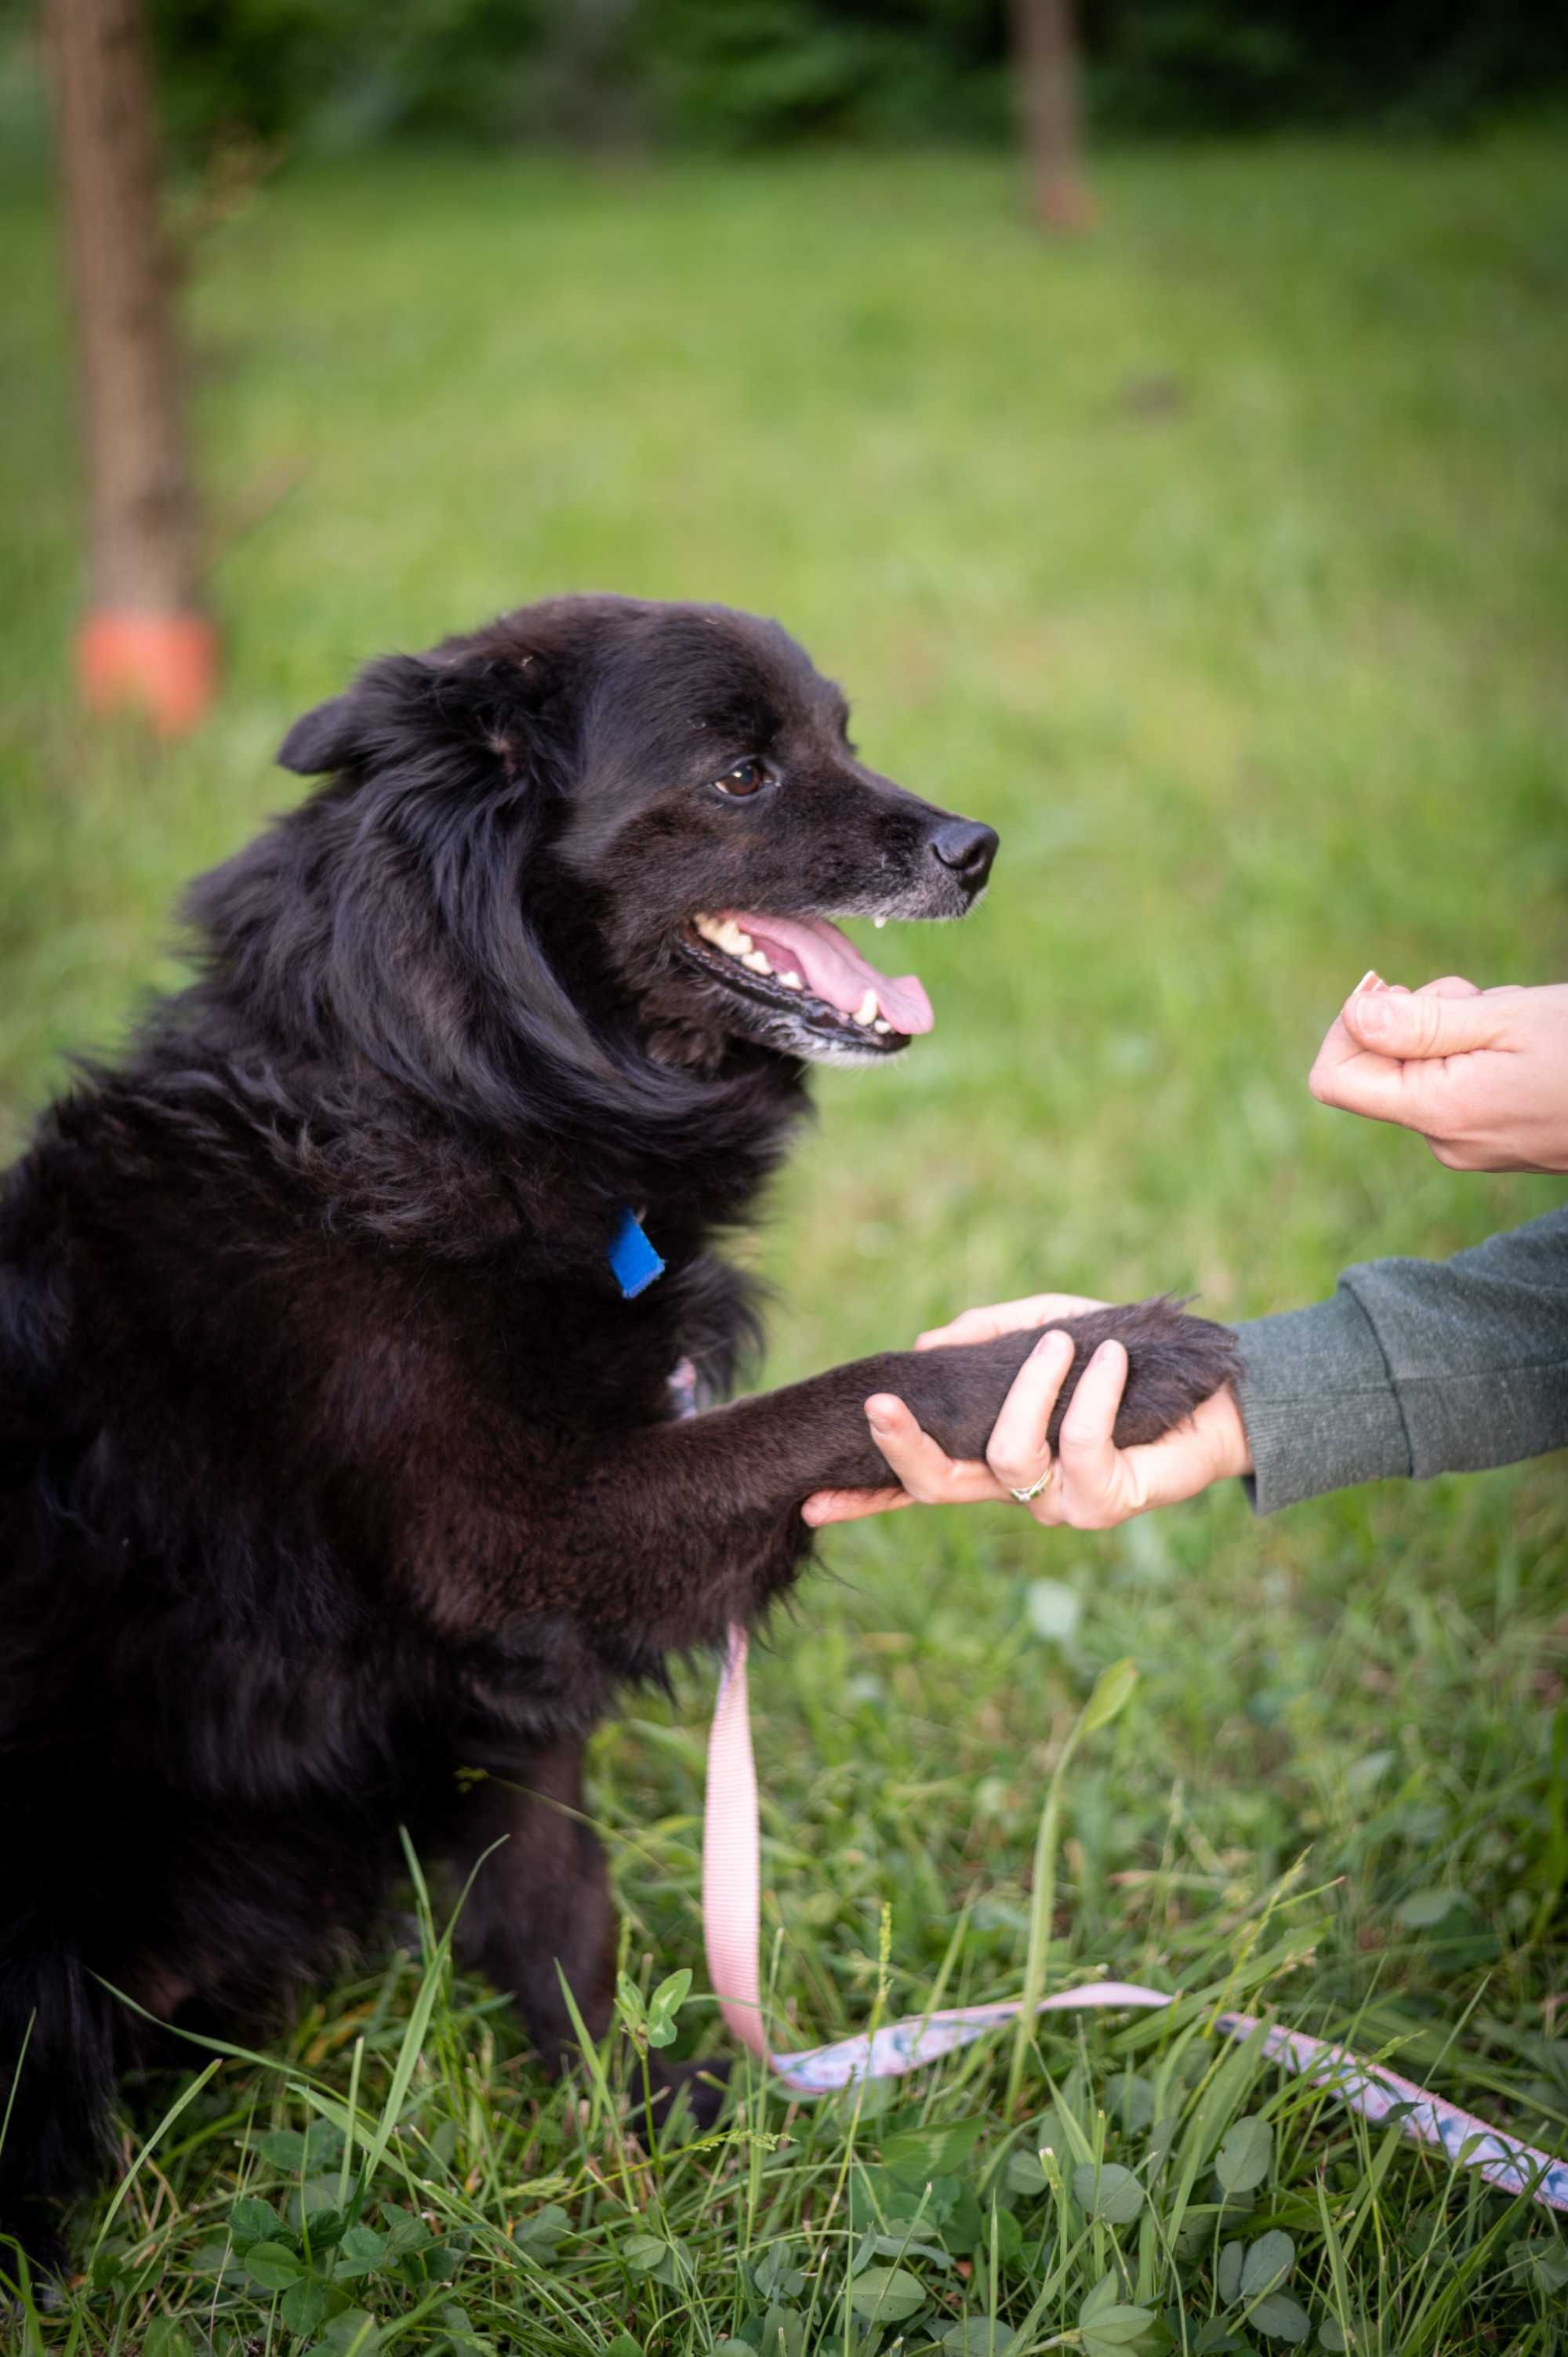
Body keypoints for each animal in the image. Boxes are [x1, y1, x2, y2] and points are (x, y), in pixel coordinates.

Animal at [0, 598, 1235, 2272]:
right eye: (741, 773)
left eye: (840, 735)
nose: (976, 849)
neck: (442, 1096)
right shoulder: (529, 1539)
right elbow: (842, 1398)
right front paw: (1115, 1351)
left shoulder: (510, 1668)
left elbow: (554, 1896)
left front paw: (628, 2120)